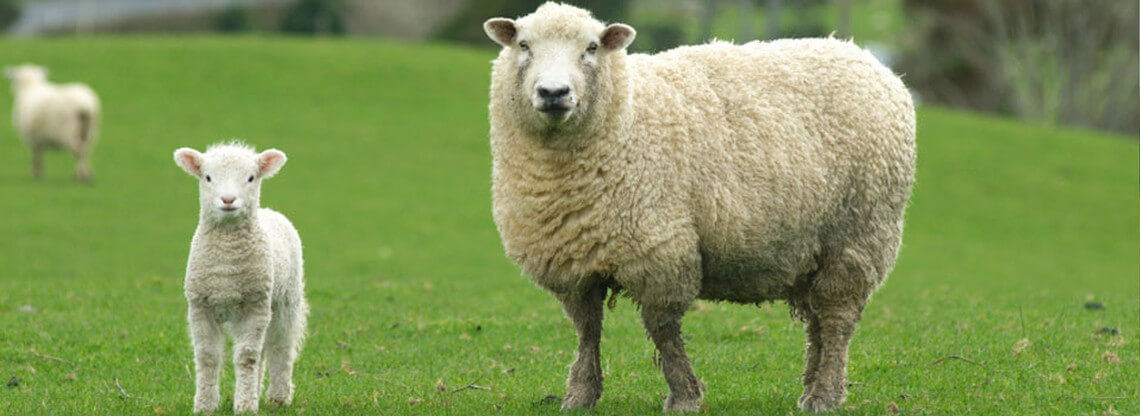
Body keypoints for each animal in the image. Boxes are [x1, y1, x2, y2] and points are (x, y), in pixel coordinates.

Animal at [173, 141, 307, 412]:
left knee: (280, 347)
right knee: (264, 351)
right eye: (207, 177)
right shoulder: (200, 306)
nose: (228, 199)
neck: (227, 269)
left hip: (286, 300)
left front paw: (245, 406)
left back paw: (278, 397)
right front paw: (205, 405)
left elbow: (246, 357)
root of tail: (270, 211)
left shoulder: (255, 304)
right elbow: (207, 357)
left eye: (251, 178)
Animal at [481, 3, 916, 412]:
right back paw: (813, 386)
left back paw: (825, 394)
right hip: (812, 249)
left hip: (859, 233)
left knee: (837, 316)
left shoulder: (660, 250)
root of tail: (864, 57)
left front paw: (684, 396)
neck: (627, 118)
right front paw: (581, 395)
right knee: (817, 322)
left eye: (591, 48)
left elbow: (662, 330)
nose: (553, 93)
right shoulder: (572, 261)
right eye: (524, 45)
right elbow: (587, 329)